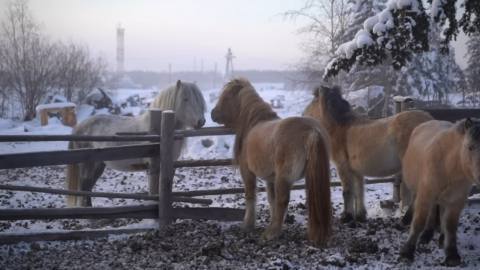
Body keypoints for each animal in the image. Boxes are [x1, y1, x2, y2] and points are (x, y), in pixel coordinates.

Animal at [66, 80, 206, 207]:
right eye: (185, 99)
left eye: (199, 100)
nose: (201, 121)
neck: (159, 129)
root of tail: (78, 127)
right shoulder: (153, 167)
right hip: (87, 165)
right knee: (85, 186)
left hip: (99, 164)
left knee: (88, 186)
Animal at [212, 78, 332, 247]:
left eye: (226, 97)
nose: (212, 114)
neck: (253, 123)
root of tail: (312, 131)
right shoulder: (271, 178)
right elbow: (271, 200)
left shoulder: (247, 172)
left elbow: (251, 196)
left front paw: (248, 224)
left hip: (284, 178)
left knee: (283, 201)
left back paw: (271, 233)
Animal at [304, 86, 436, 221]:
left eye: (314, 100)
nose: (304, 114)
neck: (340, 127)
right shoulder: (356, 171)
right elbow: (359, 191)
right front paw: (360, 215)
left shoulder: (343, 167)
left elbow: (347, 191)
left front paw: (347, 216)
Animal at [398, 118, 480, 266]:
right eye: (470, 147)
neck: (450, 166)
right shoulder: (425, 195)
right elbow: (419, 222)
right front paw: (407, 253)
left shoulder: (456, 200)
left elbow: (450, 225)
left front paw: (452, 254)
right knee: (429, 212)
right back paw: (425, 234)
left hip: (444, 198)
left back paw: (440, 238)